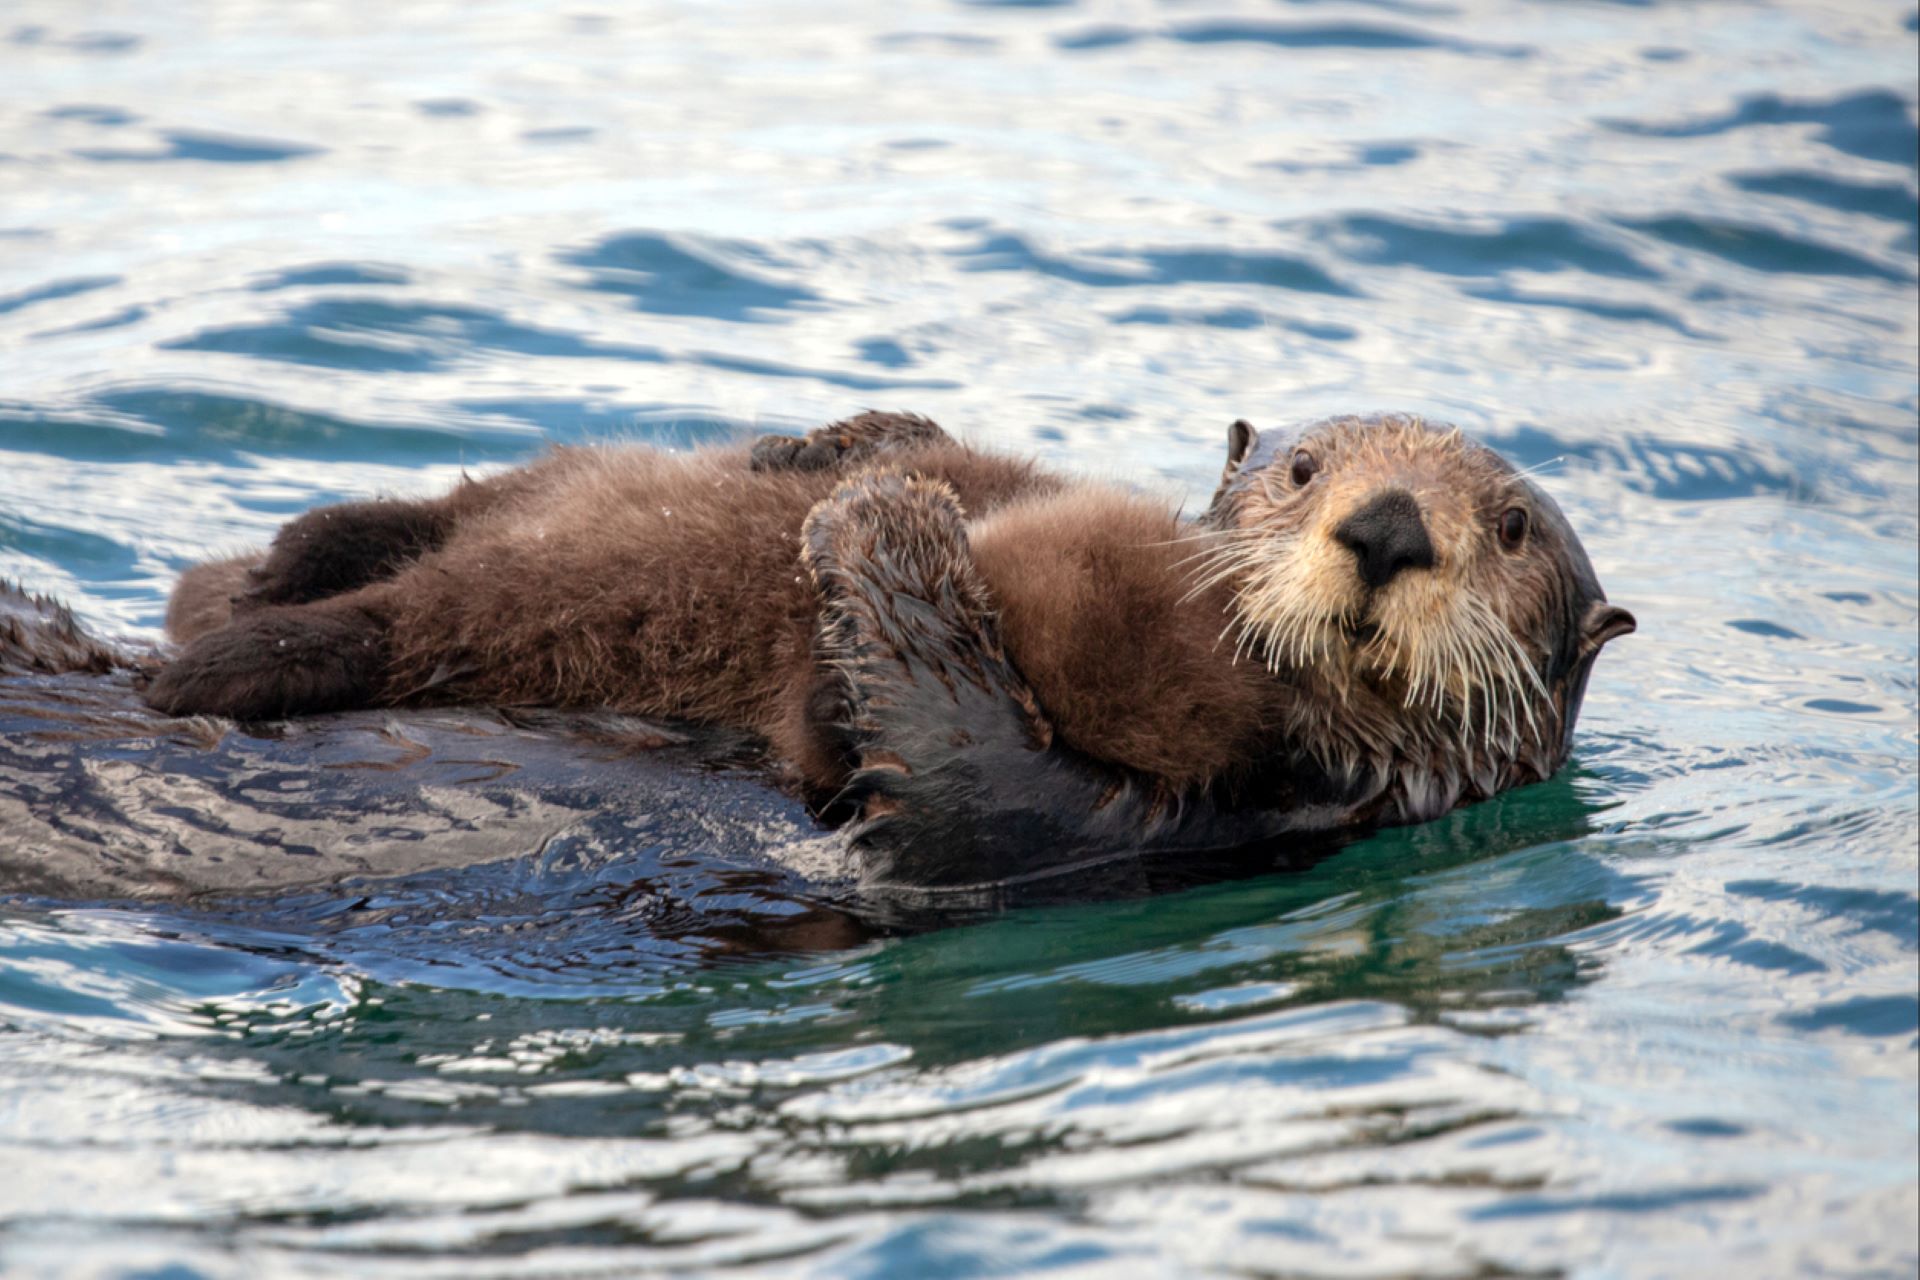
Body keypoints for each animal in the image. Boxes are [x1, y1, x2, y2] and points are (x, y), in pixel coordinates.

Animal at [142, 412, 1635, 890]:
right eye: (1306, 468)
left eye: (1510, 529)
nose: (1386, 528)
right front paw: (841, 458)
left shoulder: (1134, 814)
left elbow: (926, 761)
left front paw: (880, 519)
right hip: (507, 509)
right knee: (419, 524)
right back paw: (263, 571)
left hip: (451, 608)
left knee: (379, 623)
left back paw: (216, 654)